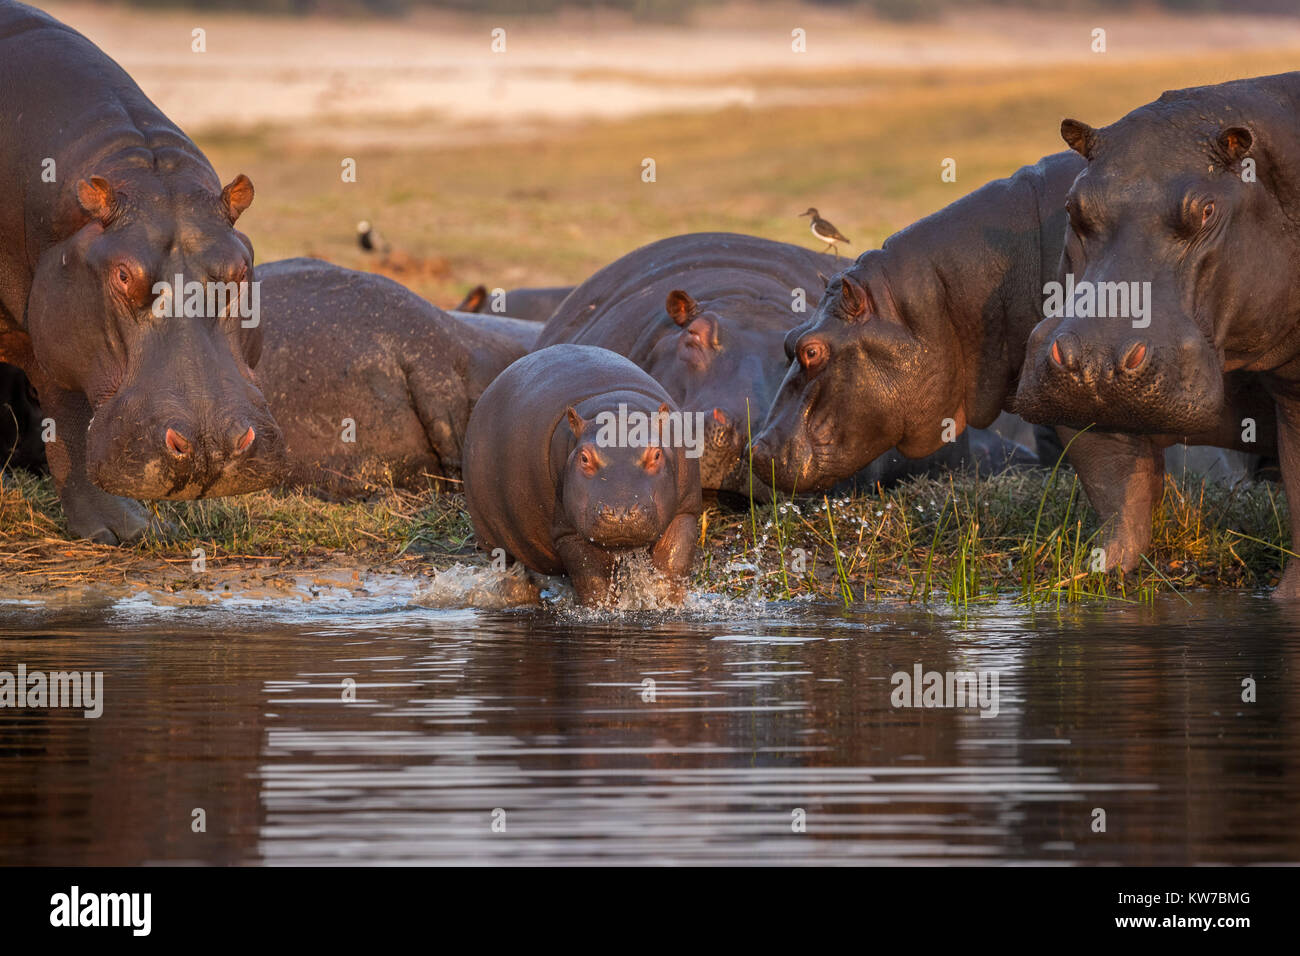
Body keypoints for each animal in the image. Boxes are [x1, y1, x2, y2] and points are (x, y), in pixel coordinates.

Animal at [0, 1, 286, 543]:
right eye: (122, 275)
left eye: (240, 269)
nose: (209, 445)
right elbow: (69, 423)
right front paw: (116, 532)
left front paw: (141, 529)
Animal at [462, 345, 702, 605]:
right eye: (584, 458)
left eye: (657, 454)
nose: (621, 513)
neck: (617, 413)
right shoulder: (569, 532)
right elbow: (593, 580)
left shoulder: (686, 511)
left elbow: (671, 568)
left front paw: (666, 605)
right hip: (492, 539)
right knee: (510, 575)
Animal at [751, 151, 1277, 572]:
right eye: (788, 339)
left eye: (811, 349)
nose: (755, 449)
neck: (940, 300)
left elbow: (1114, 485)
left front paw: (1093, 569)